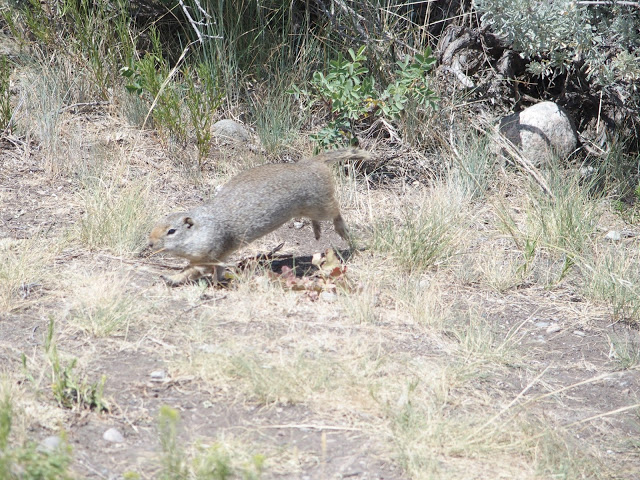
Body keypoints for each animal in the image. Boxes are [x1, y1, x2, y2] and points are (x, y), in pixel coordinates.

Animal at [149, 147, 370, 285]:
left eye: (171, 231)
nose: (149, 243)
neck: (202, 228)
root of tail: (310, 164)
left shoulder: (212, 252)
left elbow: (194, 270)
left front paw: (172, 278)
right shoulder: (213, 257)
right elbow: (208, 269)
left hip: (320, 204)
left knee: (336, 211)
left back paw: (342, 230)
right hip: (308, 209)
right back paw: (316, 231)